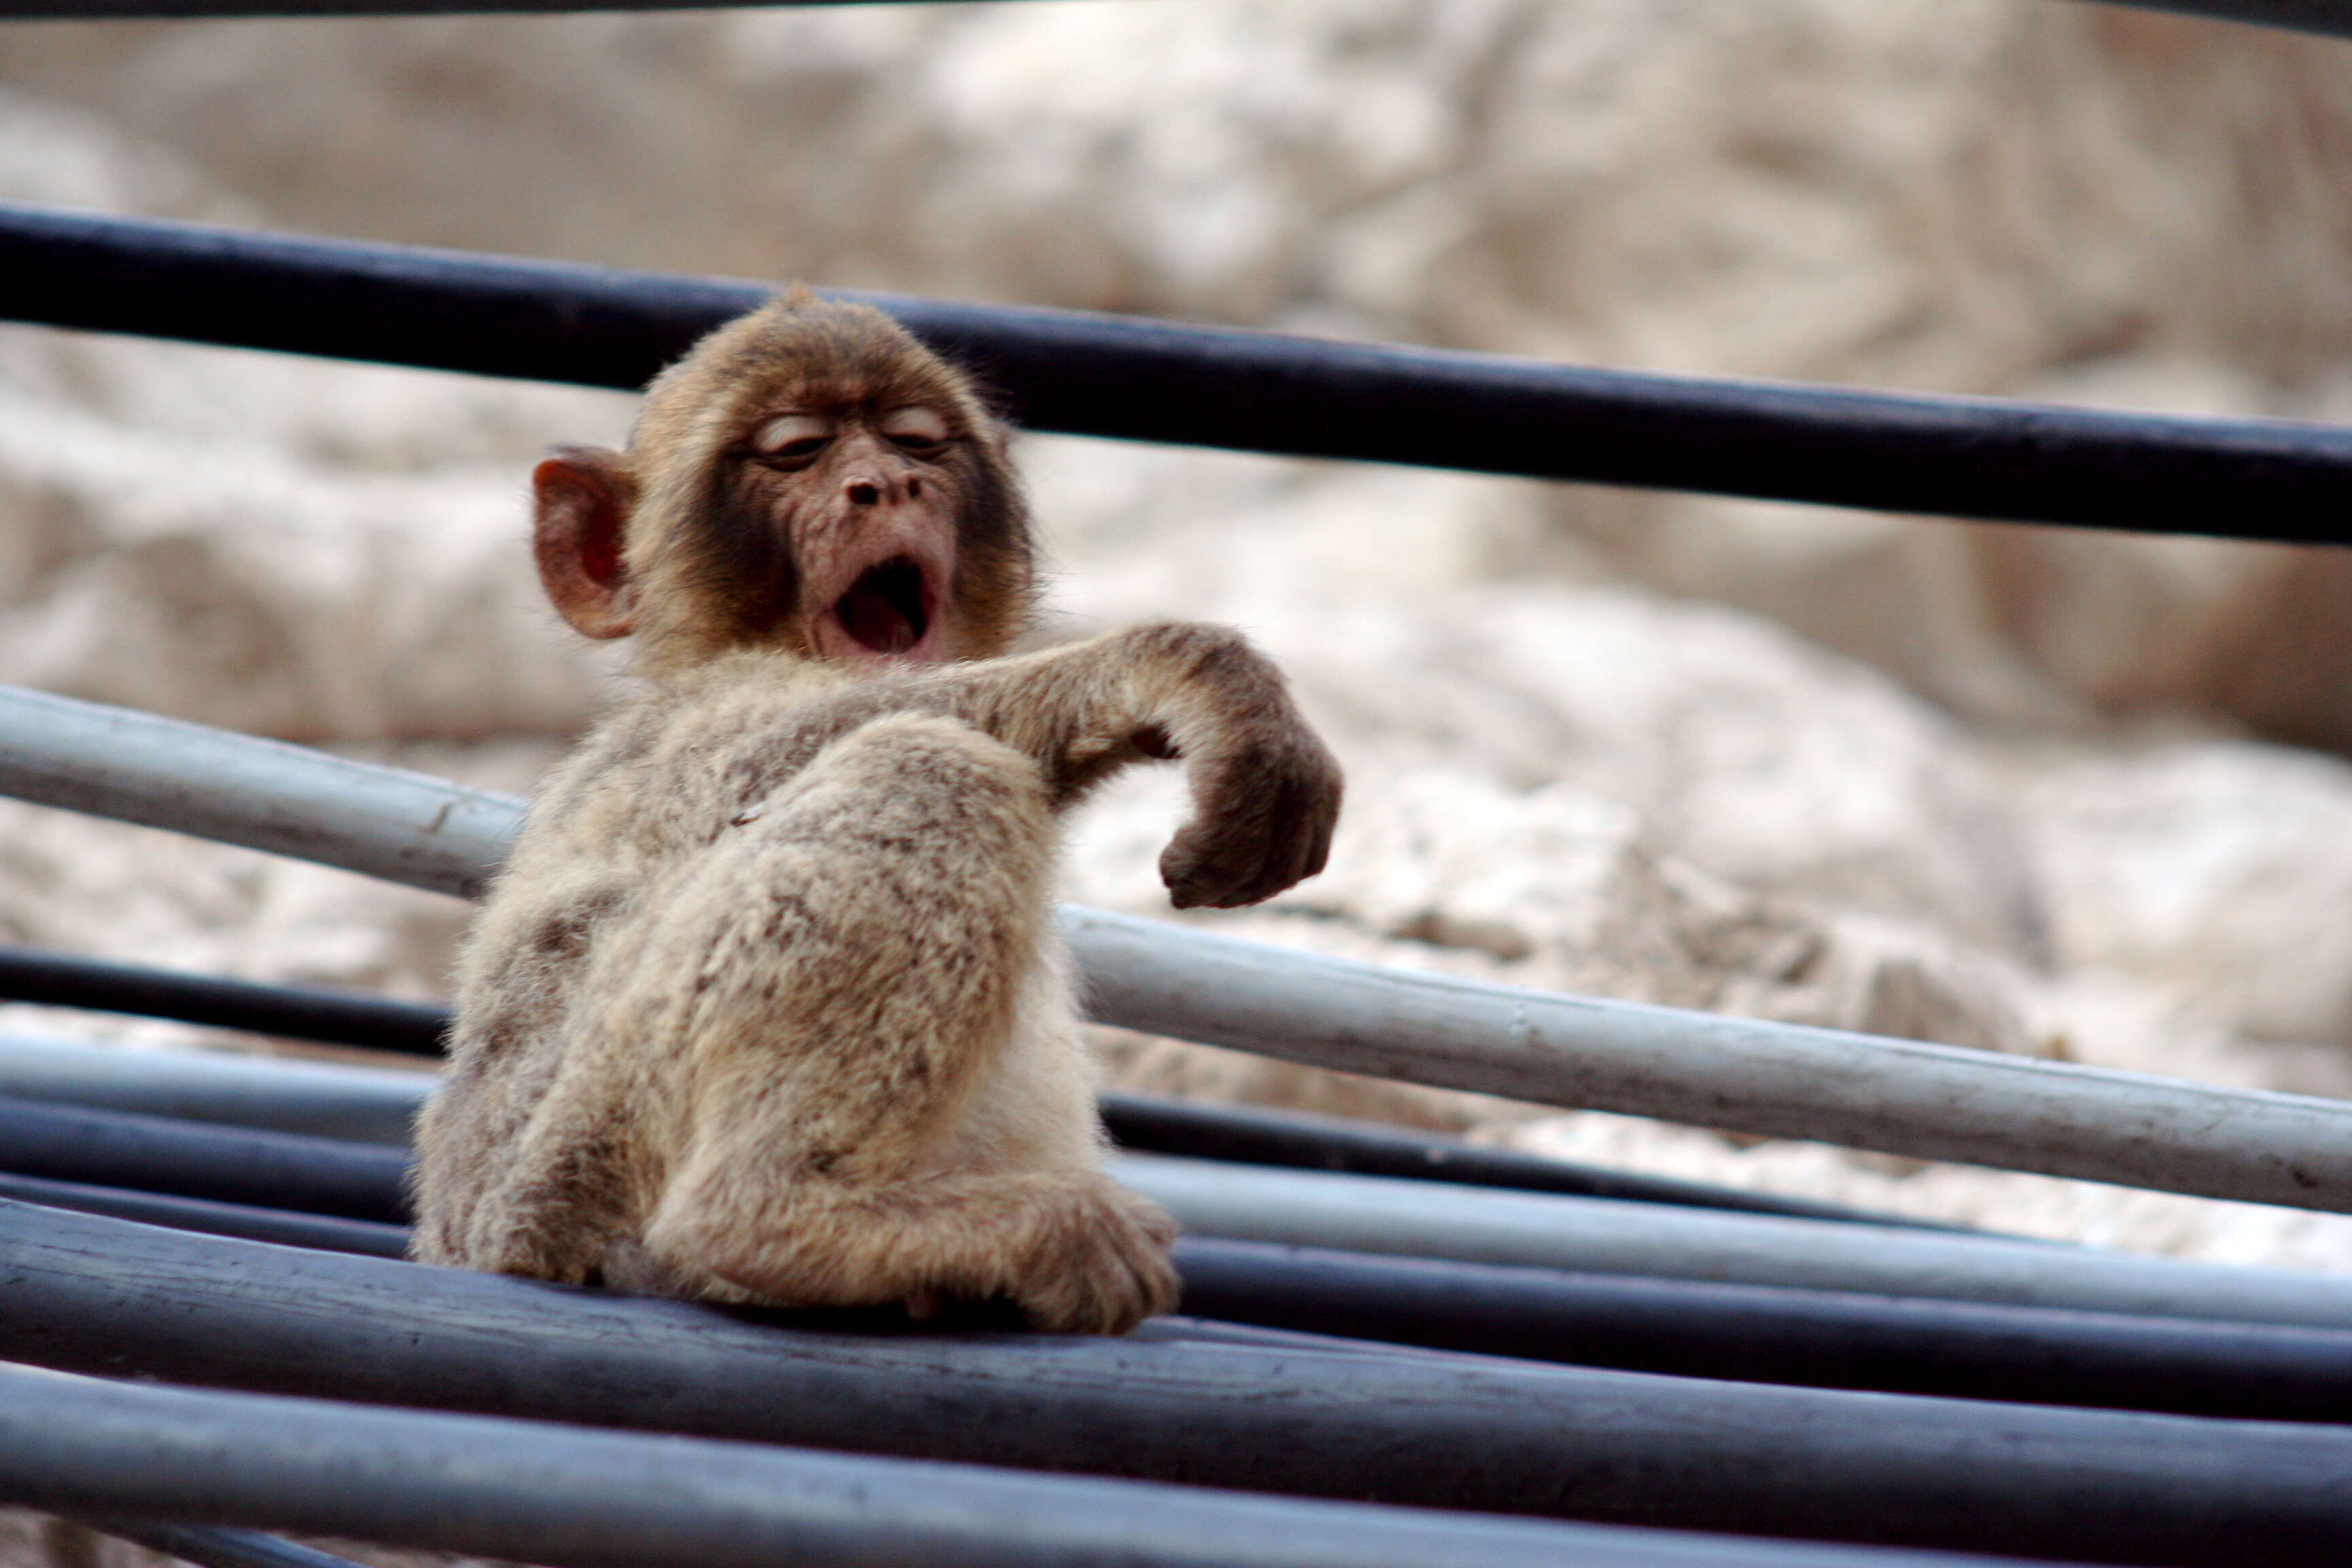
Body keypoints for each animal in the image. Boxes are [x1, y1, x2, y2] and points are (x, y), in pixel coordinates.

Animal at [409, 288, 1345, 1335]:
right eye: (795, 451)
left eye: (915, 442)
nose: (885, 486)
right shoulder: (687, 729)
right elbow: (806, 746)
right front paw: (1184, 671)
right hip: (578, 1173)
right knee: (931, 766)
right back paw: (777, 1214)